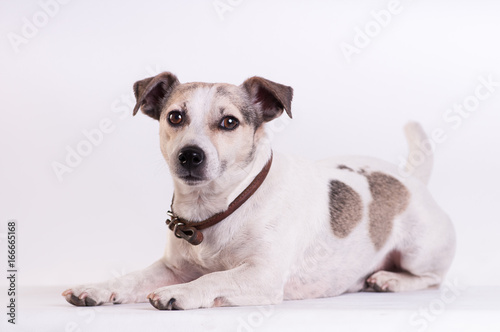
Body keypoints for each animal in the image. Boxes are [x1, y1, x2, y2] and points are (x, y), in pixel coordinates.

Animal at [63, 72, 458, 308]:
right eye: (175, 116)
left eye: (229, 122)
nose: (190, 155)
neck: (221, 207)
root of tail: (411, 178)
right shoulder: (171, 265)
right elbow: (134, 277)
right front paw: (97, 288)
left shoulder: (261, 276)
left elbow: (214, 277)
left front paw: (181, 292)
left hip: (419, 251)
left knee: (431, 279)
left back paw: (390, 280)